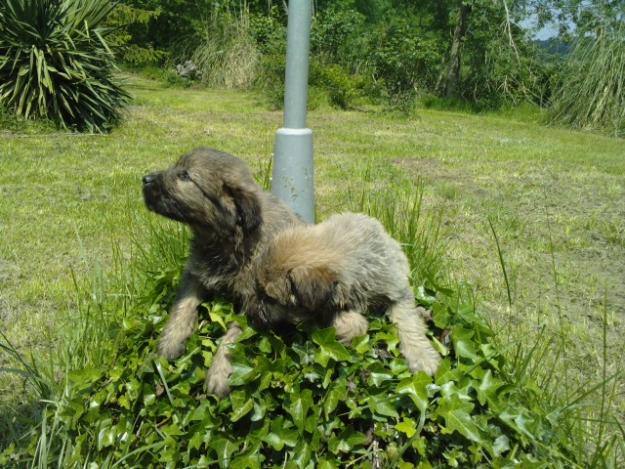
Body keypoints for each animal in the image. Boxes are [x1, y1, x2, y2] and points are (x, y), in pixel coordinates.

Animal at [141, 147, 300, 394]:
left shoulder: (255, 302)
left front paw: (219, 373)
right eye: (177, 168)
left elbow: (233, 336)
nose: (145, 179)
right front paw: (170, 340)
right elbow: (183, 304)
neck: (226, 241)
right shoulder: (195, 273)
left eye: (185, 176)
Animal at [256, 214, 442, 374]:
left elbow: (408, 322)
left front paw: (422, 358)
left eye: (270, 298)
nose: (255, 315)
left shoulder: (397, 291)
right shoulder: (330, 304)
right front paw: (348, 332)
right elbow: (351, 322)